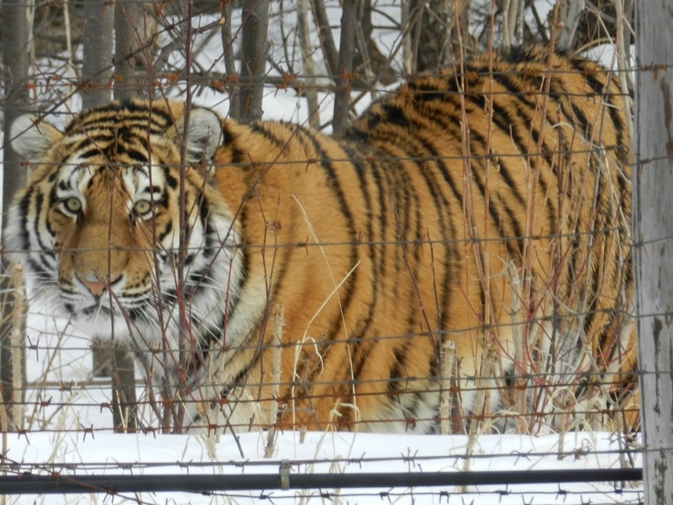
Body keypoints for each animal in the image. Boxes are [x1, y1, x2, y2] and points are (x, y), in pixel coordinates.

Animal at [5, 46, 637, 434]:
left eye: (144, 205)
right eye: (72, 204)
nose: (96, 283)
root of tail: (594, 66)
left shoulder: (290, 415)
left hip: (605, 356)